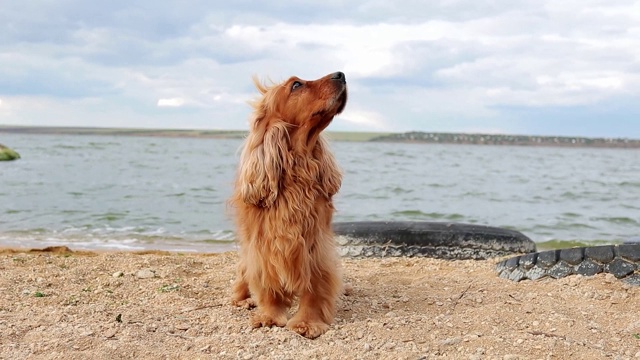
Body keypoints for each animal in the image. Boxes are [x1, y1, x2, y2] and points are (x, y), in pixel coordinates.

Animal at [230, 71, 348, 338]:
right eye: (296, 85)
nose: (341, 74)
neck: (298, 168)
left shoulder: (314, 245)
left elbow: (314, 287)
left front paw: (307, 322)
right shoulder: (263, 245)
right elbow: (267, 284)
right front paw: (269, 316)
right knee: (242, 274)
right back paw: (242, 299)